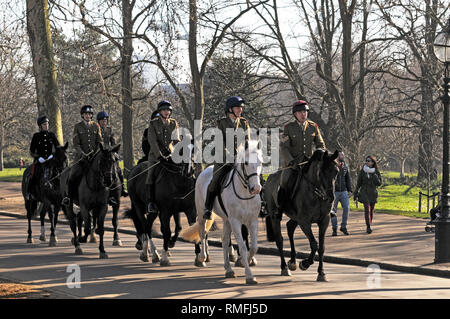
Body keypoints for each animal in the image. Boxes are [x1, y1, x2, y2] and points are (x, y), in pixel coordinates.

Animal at [180, 140, 262, 284]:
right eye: (246, 163)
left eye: (260, 162)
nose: (256, 188)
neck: (245, 193)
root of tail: (205, 170)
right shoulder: (236, 221)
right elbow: (243, 247)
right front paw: (249, 275)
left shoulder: (252, 221)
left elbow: (253, 247)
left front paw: (243, 261)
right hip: (202, 213)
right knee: (202, 233)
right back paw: (202, 258)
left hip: (226, 219)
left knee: (224, 240)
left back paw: (228, 269)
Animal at [264, 149, 338, 282]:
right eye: (322, 172)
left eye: (336, 171)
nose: (331, 197)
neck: (317, 194)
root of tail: (270, 178)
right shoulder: (304, 222)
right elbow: (314, 244)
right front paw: (305, 263)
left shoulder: (324, 221)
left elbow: (321, 247)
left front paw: (321, 272)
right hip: (274, 217)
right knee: (279, 240)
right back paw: (284, 267)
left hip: (295, 218)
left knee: (289, 227)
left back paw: (292, 261)